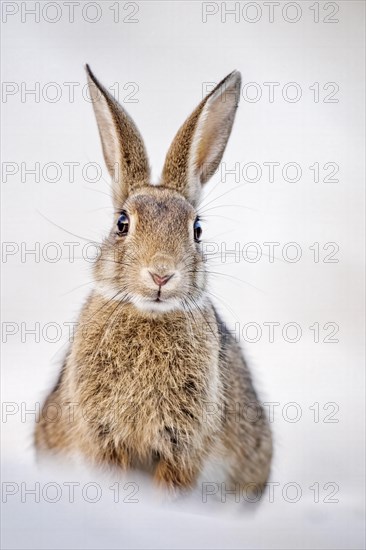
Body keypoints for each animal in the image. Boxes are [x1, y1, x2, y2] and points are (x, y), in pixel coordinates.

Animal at [35, 66, 272, 496]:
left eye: (196, 230)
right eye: (121, 224)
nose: (161, 273)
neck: (149, 315)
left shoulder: (184, 443)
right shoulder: (103, 436)